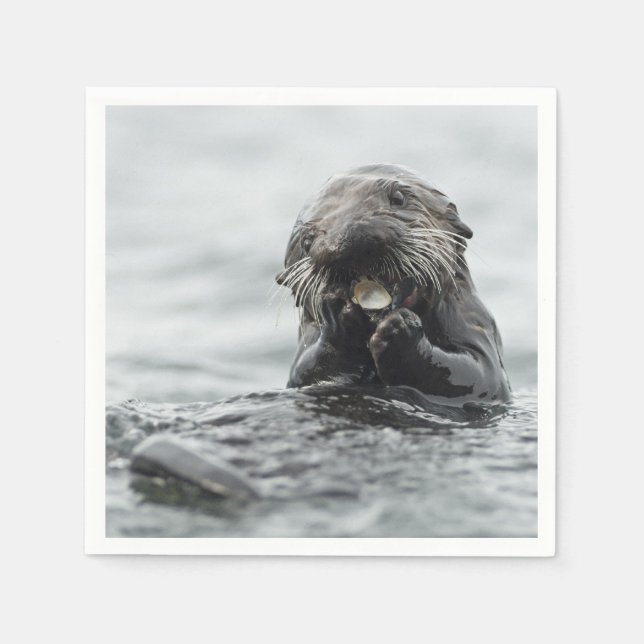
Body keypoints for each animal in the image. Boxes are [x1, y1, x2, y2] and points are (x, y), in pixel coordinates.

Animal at [276, 164, 511, 404]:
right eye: (306, 241)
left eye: (398, 198)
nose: (347, 240)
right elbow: (306, 373)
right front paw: (339, 320)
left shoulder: (474, 322)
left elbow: (480, 375)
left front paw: (400, 329)